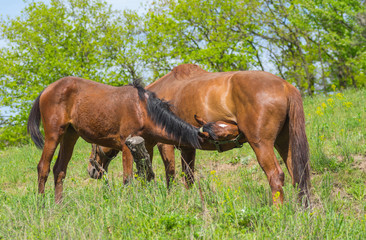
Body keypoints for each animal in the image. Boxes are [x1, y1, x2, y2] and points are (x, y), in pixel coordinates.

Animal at [26, 77, 203, 202]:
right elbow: (128, 179)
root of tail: (48, 89)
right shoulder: (126, 147)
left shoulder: (147, 147)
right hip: (53, 135)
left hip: (70, 136)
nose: (92, 171)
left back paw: (59, 205)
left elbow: (146, 176)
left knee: (59, 170)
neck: (142, 109)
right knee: (43, 168)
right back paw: (41, 204)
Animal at [87, 64, 310, 206]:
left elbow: (166, 175)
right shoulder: (187, 148)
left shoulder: (160, 145)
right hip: (284, 143)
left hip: (261, 145)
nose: (91, 170)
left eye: (93, 146)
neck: (143, 105)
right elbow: (188, 178)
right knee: (297, 176)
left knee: (276, 176)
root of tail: (285, 86)